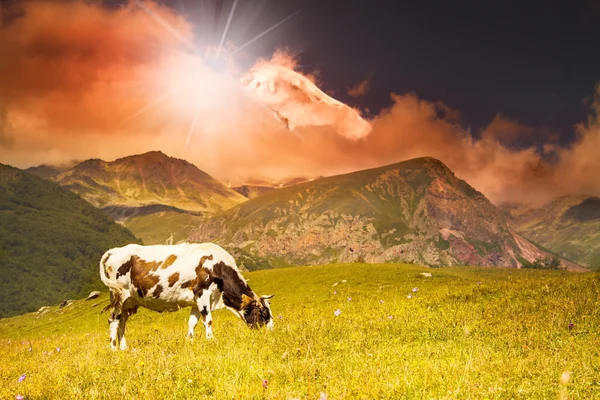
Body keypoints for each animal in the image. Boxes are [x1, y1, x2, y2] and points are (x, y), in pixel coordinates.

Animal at [100, 241, 274, 350]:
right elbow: (208, 320)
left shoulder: (196, 301)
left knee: (122, 322)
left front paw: (189, 341)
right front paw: (211, 339)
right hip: (119, 296)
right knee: (113, 320)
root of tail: (114, 251)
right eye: (264, 313)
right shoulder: (202, 293)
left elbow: (193, 323)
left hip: (129, 301)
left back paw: (124, 347)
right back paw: (113, 348)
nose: (272, 331)